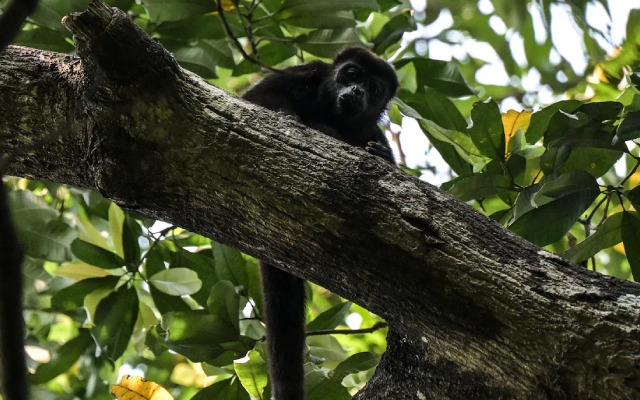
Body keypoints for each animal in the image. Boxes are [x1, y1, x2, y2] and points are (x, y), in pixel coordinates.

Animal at [242, 47, 398, 400]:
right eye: (352, 74)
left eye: (375, 89)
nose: (357, 92)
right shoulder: (305, 72)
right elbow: (255, 98)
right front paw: (289, 116)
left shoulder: (373, 132)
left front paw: (378, 155)